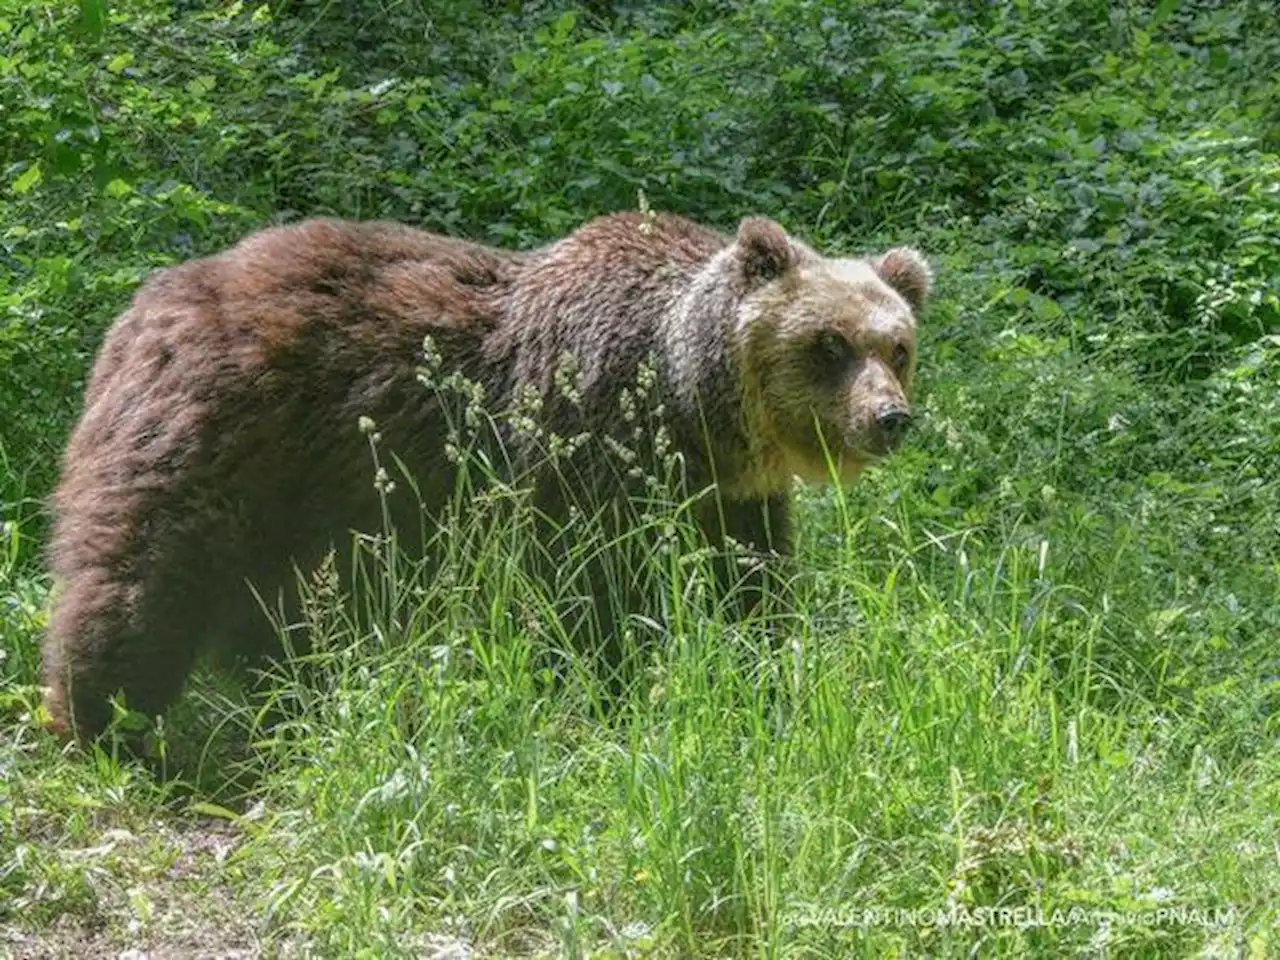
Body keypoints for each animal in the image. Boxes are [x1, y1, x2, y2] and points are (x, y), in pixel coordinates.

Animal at [42, 212, 931, 742]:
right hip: (217, 439)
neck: (689, 406)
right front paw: (611, 692)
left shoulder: (728, 498)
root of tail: (144, 304)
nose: (890, 418)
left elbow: (747, 586)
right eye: (829, 344)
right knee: (145, 571)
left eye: (897, 346)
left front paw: (764, 674)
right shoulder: (587, 450)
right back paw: (99, 718)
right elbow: (591, 595)